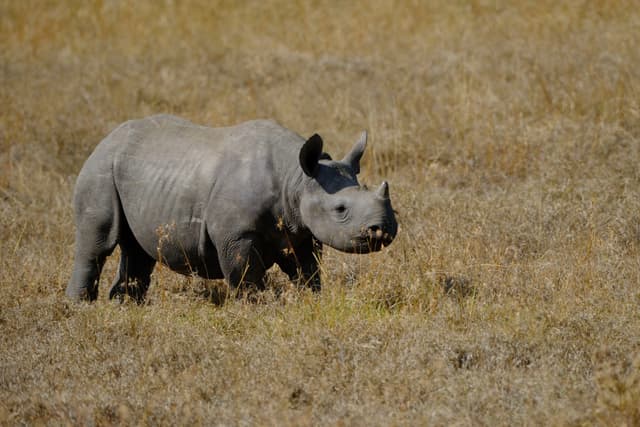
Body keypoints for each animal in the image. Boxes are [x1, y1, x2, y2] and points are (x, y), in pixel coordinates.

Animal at [66, 114, 398, 302]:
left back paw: (124, 307)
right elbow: (245, 275)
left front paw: (311, 302)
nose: (383, 230)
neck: (296, 178)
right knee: (97, 242)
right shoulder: (236, 234)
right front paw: (255, 309)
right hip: (100, 167)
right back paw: (81, 307)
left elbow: (308, 272)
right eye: (341, 209)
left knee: (138, 250)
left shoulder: (299, 230)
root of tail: (107, 137)